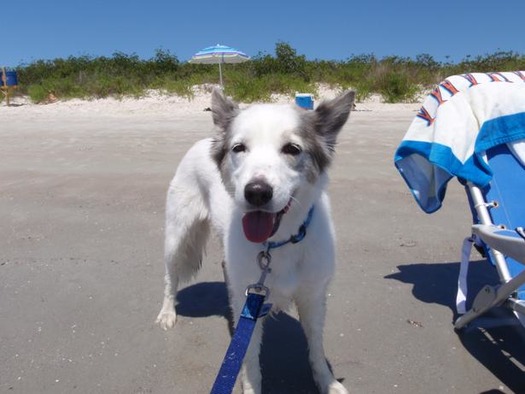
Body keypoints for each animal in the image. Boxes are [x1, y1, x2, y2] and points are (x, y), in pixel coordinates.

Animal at [155, 89, 352, 394]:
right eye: (239, 148)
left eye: (292, 149)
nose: (257, 192)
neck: (277, 243)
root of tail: (205, 139)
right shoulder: (250, 305)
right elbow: (248, 359)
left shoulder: (313, 297)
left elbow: (317, 349)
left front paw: (327, 382)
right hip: (178, 236)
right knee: (170, 278)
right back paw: (167, 312)